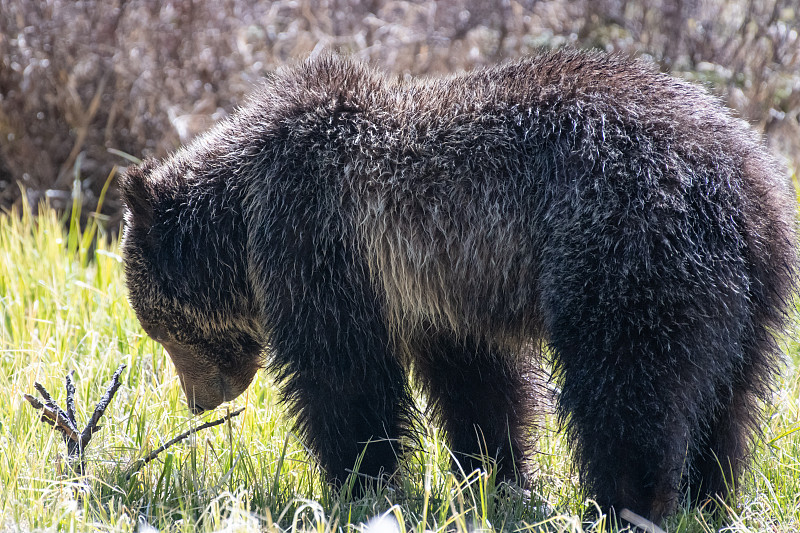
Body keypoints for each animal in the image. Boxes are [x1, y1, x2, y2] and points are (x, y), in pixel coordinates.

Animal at [122, 51, 796, 524]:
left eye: (160, 329)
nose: (199, 401)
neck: (242, 219)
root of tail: (745, 183)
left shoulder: (324, 243)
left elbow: (346, 379)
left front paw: (358, 483)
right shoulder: (440, 294)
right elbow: (480, 389)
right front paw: (495, 479)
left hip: (623, 254)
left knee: (630, 393)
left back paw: (625, 507)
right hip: (748, 298)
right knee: (728, 403)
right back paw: (708, 501)